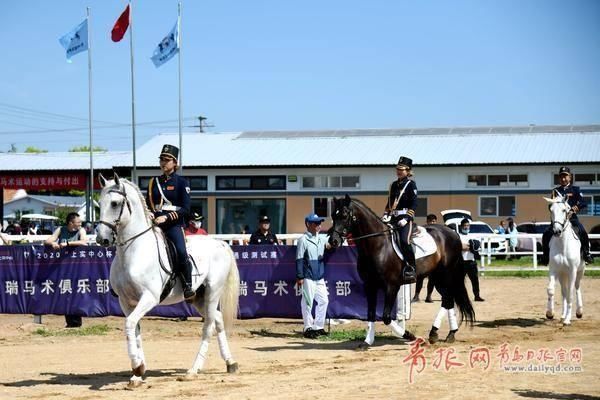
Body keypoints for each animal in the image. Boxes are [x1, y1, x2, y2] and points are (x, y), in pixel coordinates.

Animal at [96, 173, 239, 386]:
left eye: (114, 203)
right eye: (99, 203)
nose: (101, 239)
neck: (133, 250)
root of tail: (220, 244)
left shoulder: (149, 297)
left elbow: (129, 324)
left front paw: (137, 367)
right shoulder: (125, 301)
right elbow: (135, 329)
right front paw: (138, 372)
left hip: (213, 292)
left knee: (208, 326)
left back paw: (193, 370)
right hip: (198, 297)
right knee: (218, 320)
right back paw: (230, 362)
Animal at [326, 195, 476, 346]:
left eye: (345, 215)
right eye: (333, 215)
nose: (333, 241)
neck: (377, 245)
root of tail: (453, 233)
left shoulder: (392, 286)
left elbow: (386, 317)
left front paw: (410, 336)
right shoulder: (370, 285)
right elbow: (371, 314)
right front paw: (367, 341)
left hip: (447, 275)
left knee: (448, 299)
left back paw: (441, 333)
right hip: (437, 277)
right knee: (448, 299)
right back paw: (444, 333)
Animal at [540, 195, 584, 326]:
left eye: (565, 210)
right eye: (551, 210)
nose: (557, 231)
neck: (563, 244)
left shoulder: (572, 271)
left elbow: (570, 294)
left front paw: (568, 320)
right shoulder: (554, 270)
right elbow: (551, 290)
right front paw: (550, 313)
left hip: (579, 272)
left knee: (577, 287)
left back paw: (579, 312)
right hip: (562, 274)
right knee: (564, 292)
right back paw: (563, 315)